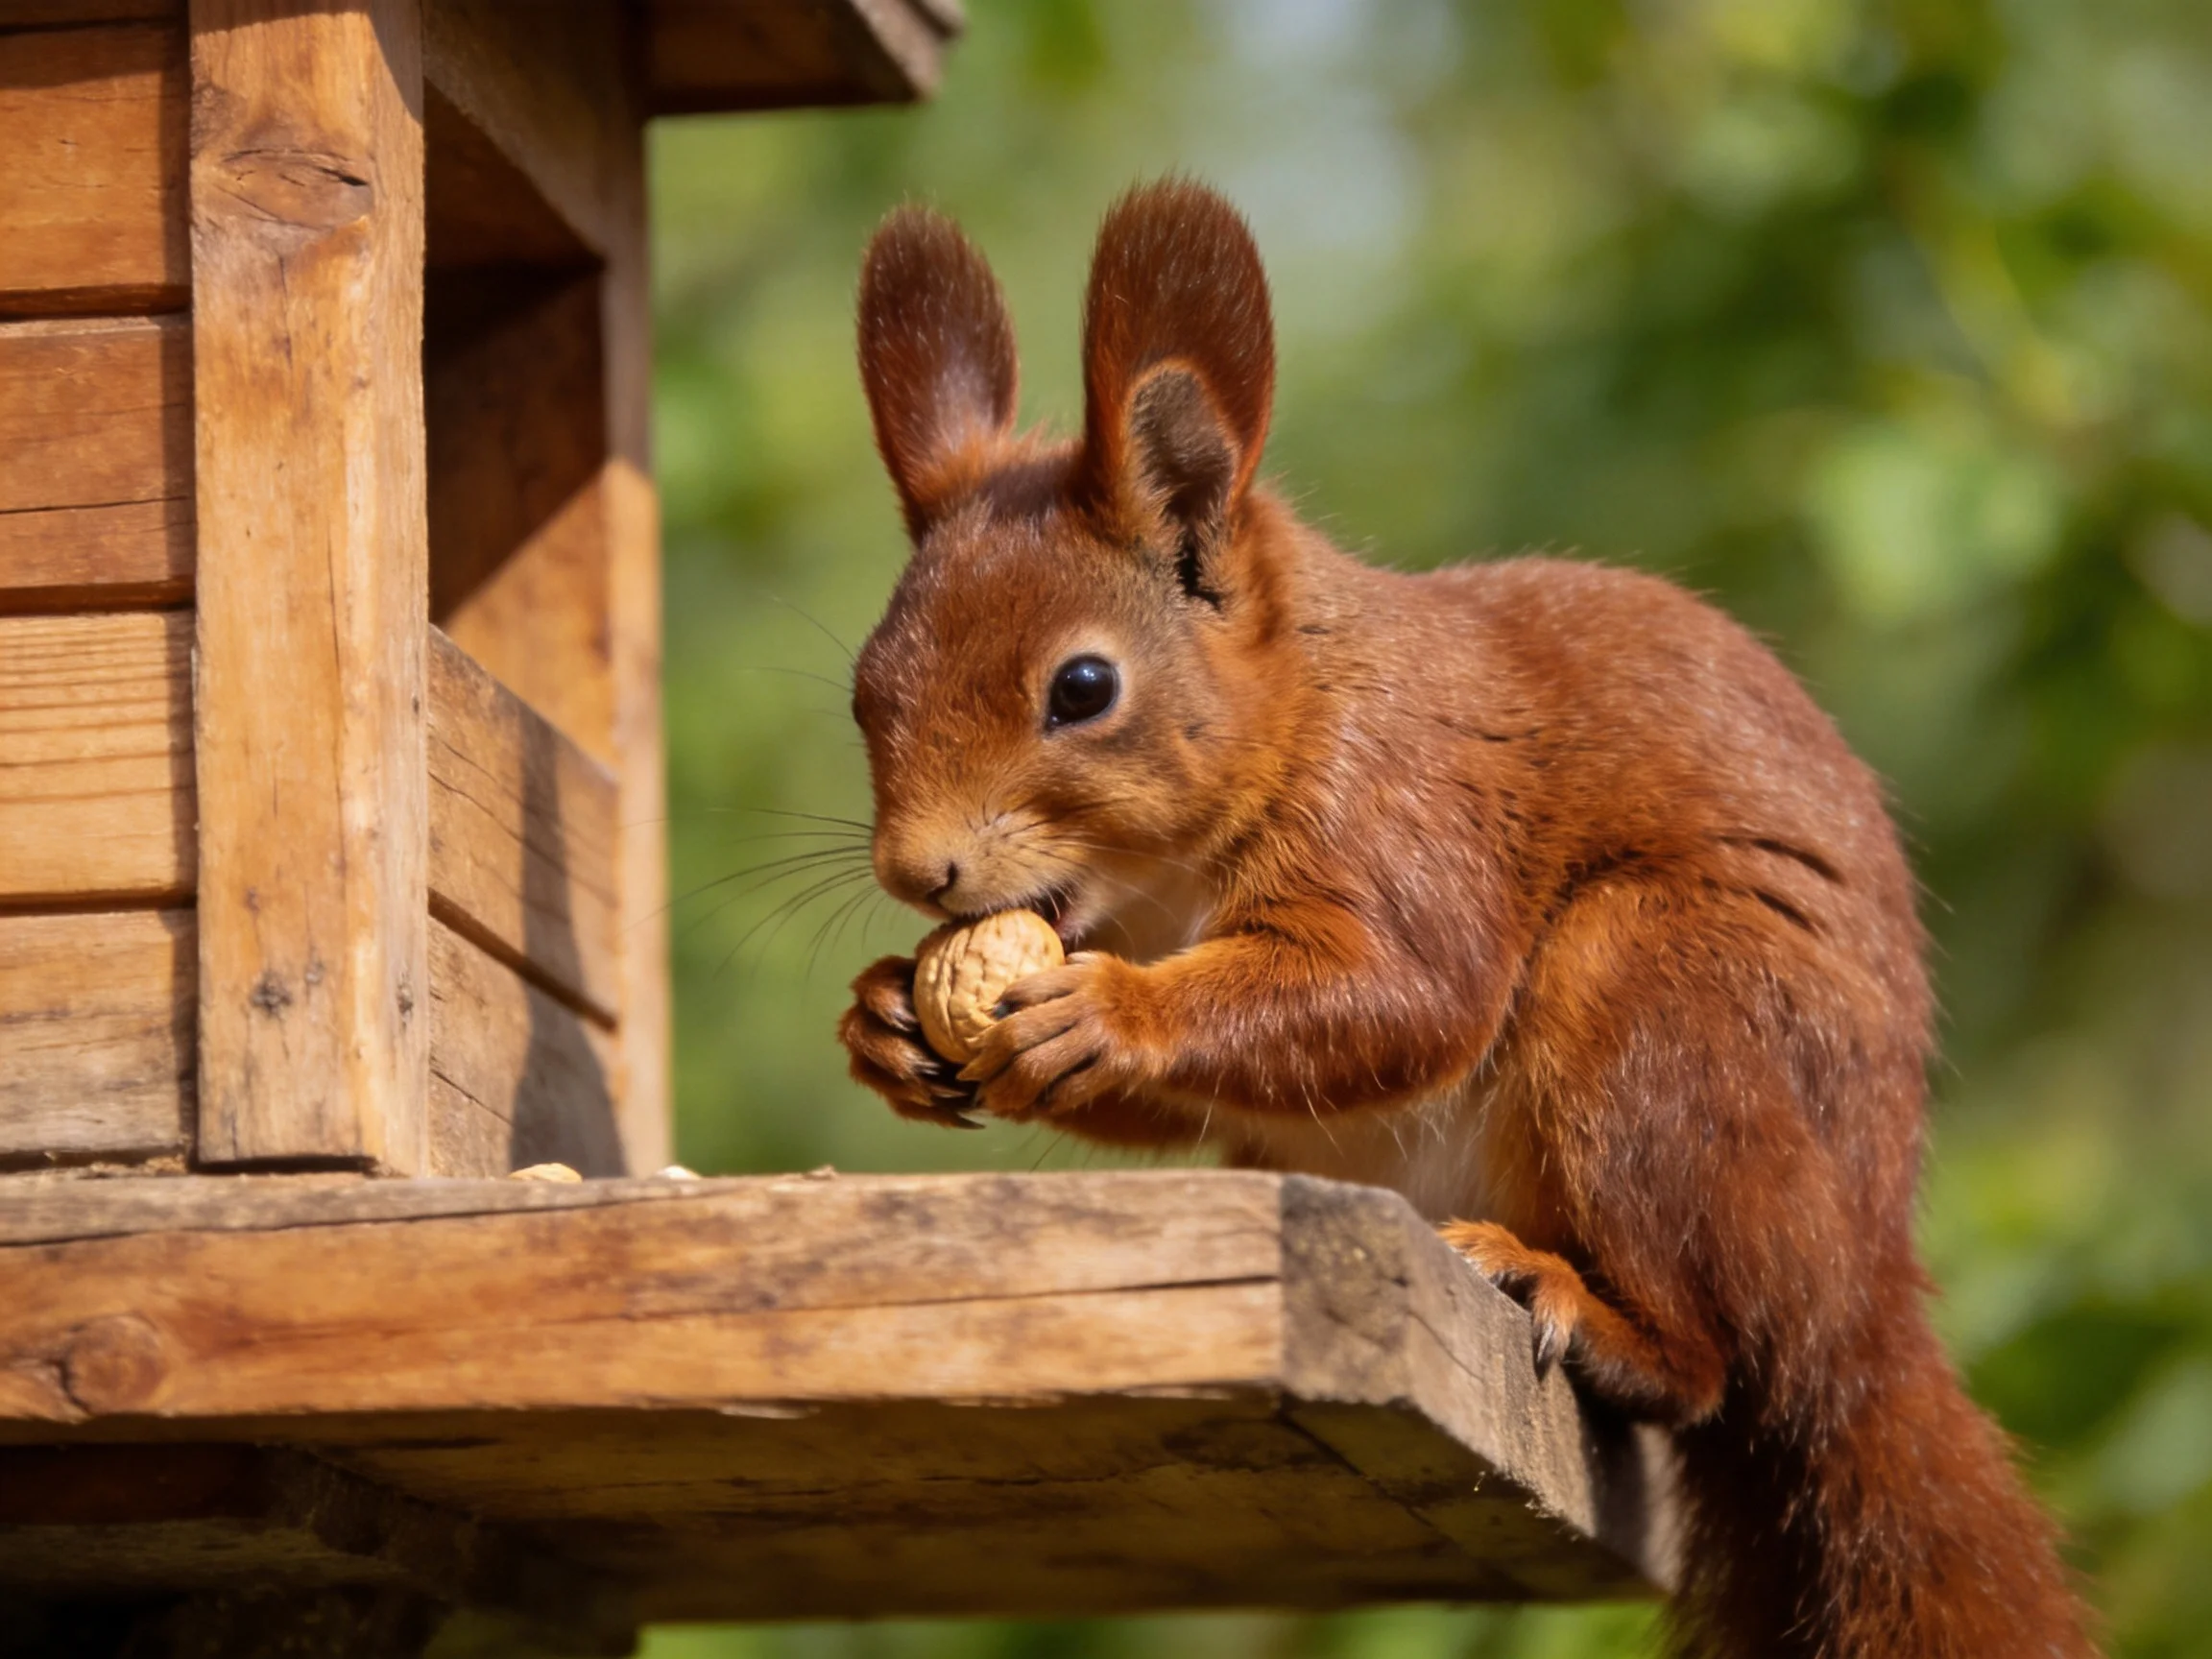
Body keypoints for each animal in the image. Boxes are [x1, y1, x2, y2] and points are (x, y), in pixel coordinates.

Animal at [836, 180, 2097, 1659]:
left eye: (1082, 688)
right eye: (865, 688)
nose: (918, 874)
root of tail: (1865, 1287)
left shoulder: (1413, 811)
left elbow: (1408, 993)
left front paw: (1110, 1010)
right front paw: (881, 1018)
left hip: (1664, 1004)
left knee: (1718, 1366)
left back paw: (1582, 1308)